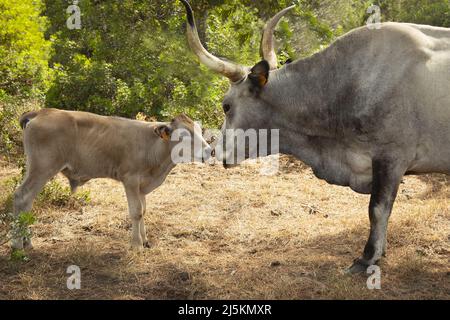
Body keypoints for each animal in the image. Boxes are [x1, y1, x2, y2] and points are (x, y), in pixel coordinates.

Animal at [12, 109, 213, 251]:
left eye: (199, 130)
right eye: (183, 135)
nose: (209, 150)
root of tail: (43, 111)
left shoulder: (141, 186)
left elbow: (143, 210)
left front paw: (145, 240)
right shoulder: (130, 179)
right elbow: (136, 212)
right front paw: (136, 245)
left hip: (35, 169)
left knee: (27, 203)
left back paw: (26, 241)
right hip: (42, 168)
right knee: (22, 197)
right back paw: (17, 244)